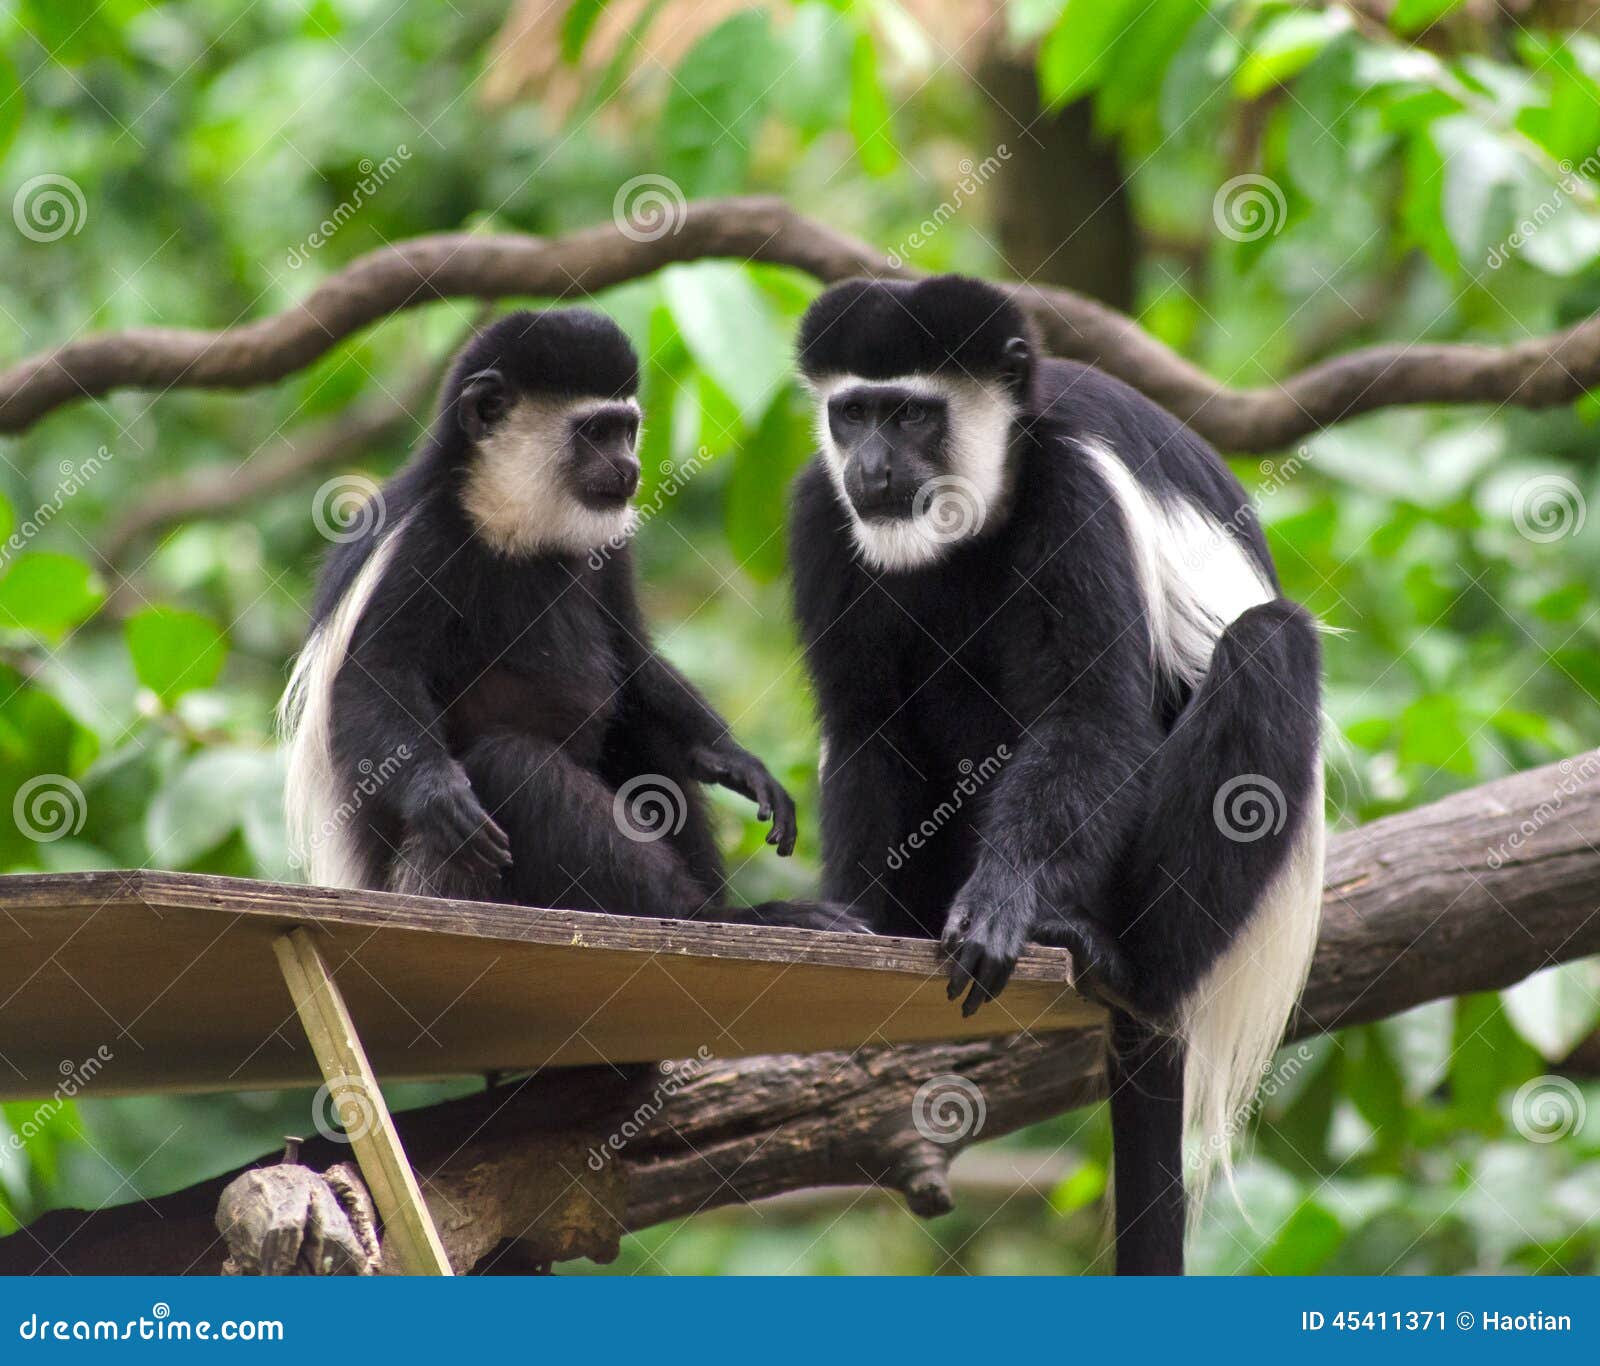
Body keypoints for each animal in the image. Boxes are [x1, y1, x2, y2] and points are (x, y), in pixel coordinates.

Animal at [281, 307, 870, 940]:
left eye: (626, 430)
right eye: (594, 432)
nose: (631, 468)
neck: (512, 524)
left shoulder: (611, 547)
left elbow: (630, 653)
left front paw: (732, 759)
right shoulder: (419, 541)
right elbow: (375, 672)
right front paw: (436, 790)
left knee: (639, 736)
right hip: (437, 875)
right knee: (513, 768)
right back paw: (721, 915)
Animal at [787, 273, 1324, 1279]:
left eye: (912, 416)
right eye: (852, 414)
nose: (871, 470)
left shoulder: (1079, 494)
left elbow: (1090, 714)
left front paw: (1004, 899)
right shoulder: (821, 512)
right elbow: (865, 724)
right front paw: (856, 934)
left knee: (1266, 648)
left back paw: (1111, 958)